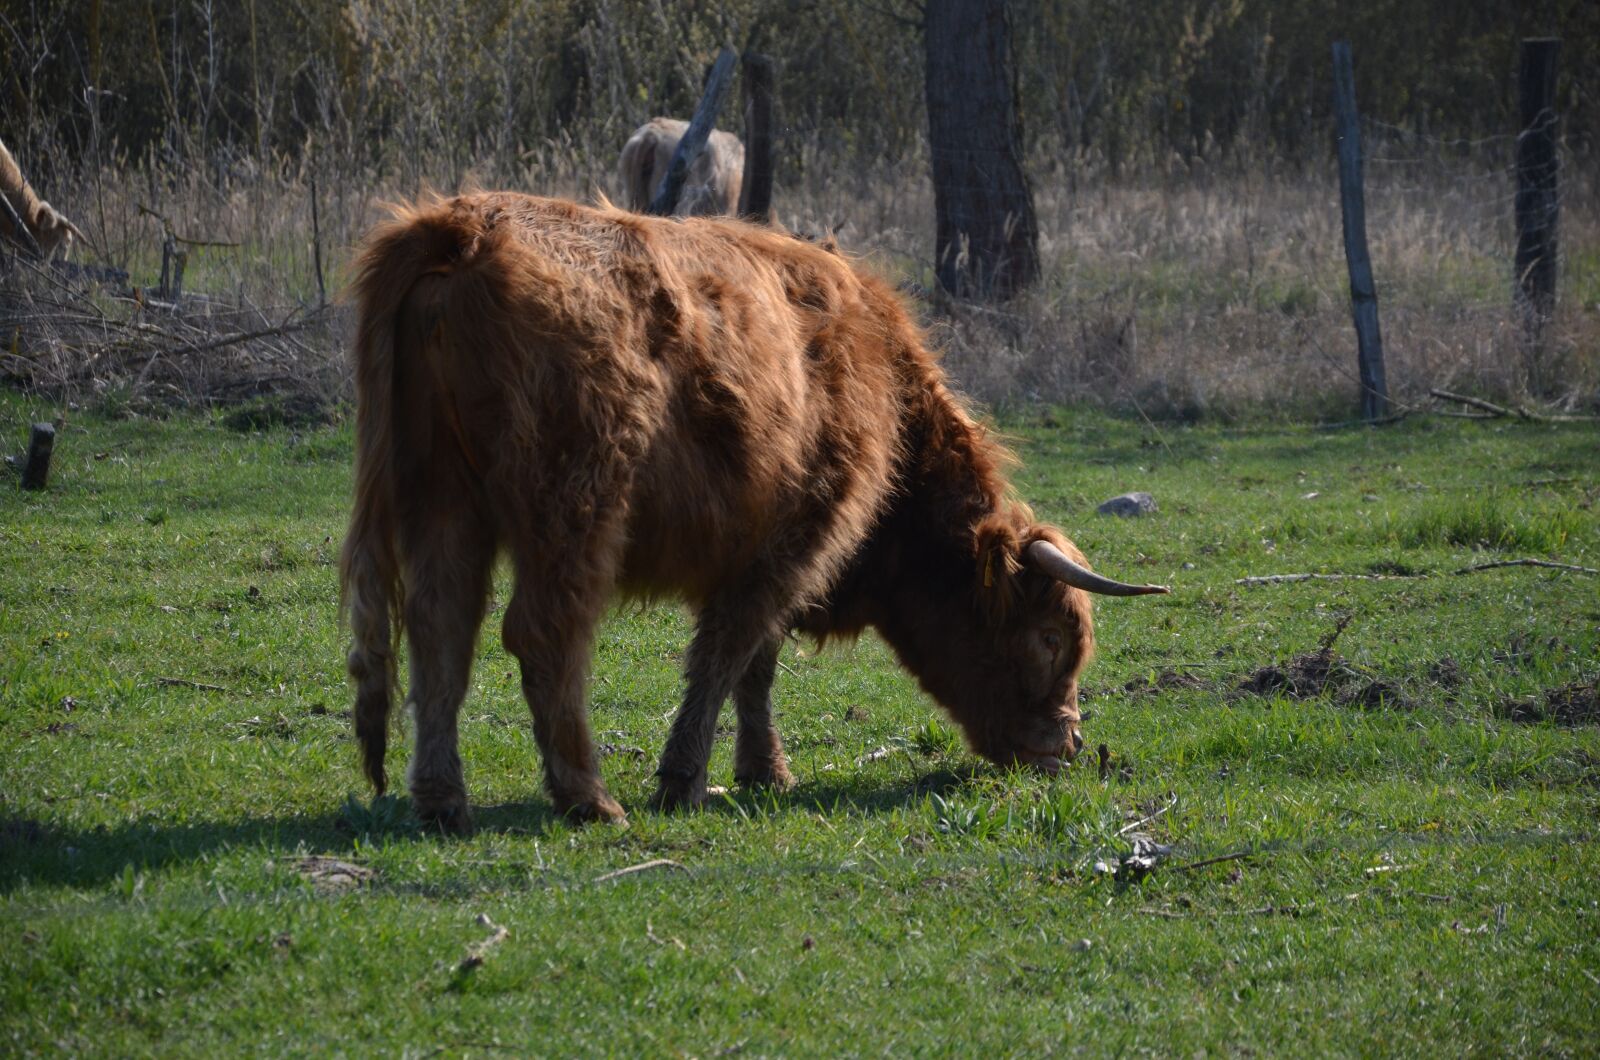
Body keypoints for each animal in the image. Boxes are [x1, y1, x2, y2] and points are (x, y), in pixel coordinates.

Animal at [341, 192, 1167, 833]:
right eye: (1051, 637)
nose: (1065, 746)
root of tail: (462, 228)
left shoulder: (760, 551)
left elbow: (753, 667)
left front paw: (761, 770)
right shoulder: (796, 536)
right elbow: (730, 654)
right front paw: (685, 778)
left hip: (439, 498)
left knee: (441, 629)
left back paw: (443, 799)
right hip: (573, 505)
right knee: (546, 634)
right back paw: (589, 797)